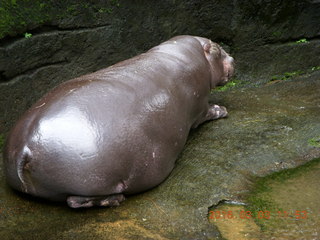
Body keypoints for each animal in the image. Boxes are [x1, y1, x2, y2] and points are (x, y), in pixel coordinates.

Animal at [3, 35, 235, 208]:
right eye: (217, 48)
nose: (233, 58)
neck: (184, 54)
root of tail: (27, 145)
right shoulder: (200, 104)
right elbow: (206, 112)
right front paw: (222, 110)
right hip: (94, 181)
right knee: (75, 200)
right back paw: (115, 200)